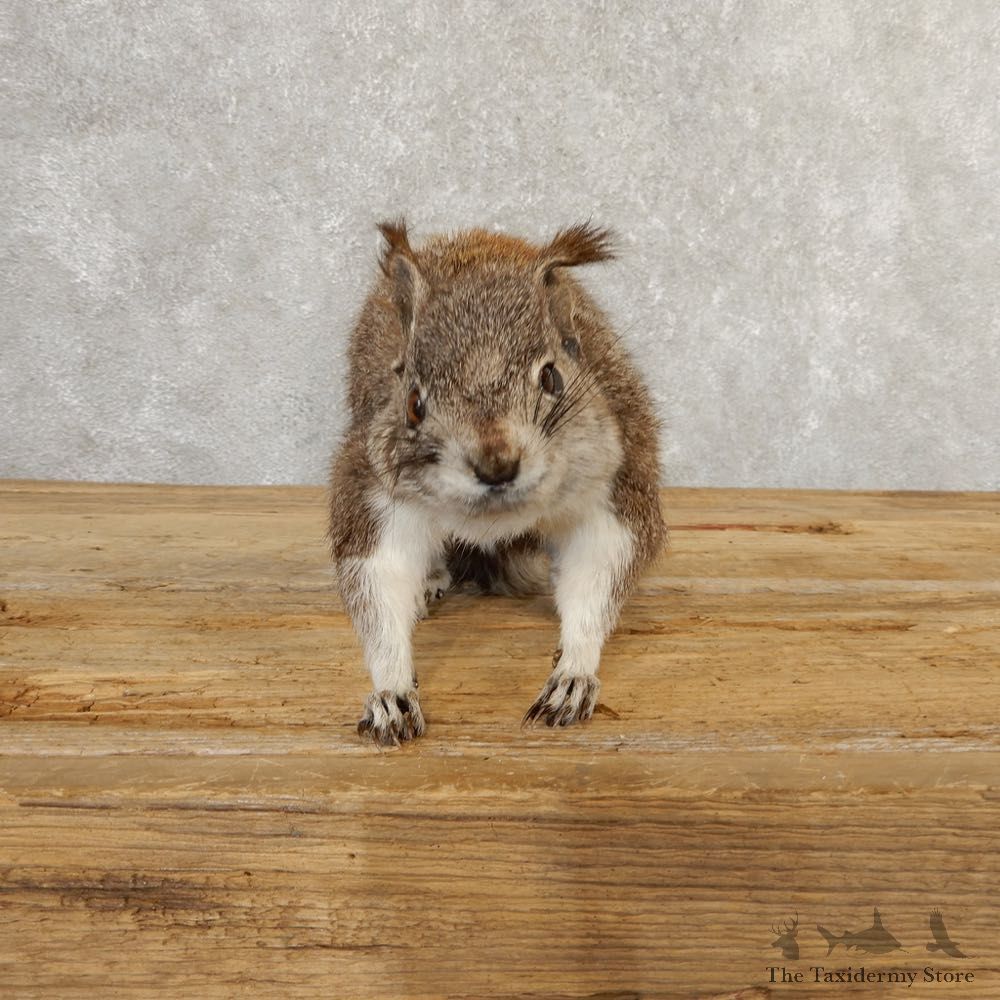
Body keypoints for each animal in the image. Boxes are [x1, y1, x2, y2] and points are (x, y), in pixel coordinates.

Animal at [328, 220, 666, 746]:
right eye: (413, 403)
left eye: (552, 378)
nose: (496, 465)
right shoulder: (375, 494)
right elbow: (378, 586)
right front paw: (390, 691)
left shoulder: (611, 489)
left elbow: (597, 574)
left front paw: (574, 672)